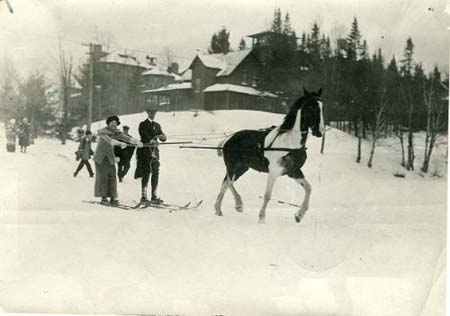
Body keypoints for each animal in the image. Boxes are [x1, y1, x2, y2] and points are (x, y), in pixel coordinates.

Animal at [214, 87, 324, 223]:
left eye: (322, 106)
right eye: (311, 107)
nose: (319, 132)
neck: (290, 143)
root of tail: (228, 139)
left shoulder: (293, 172)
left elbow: (308, 188)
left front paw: (299, 215)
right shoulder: (273, 172)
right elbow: (267, 195)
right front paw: (262, 218)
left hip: (242, 168)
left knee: (225, 183)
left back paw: (218, 209)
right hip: (233, 166)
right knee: (229, 182)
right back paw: (238, 204)